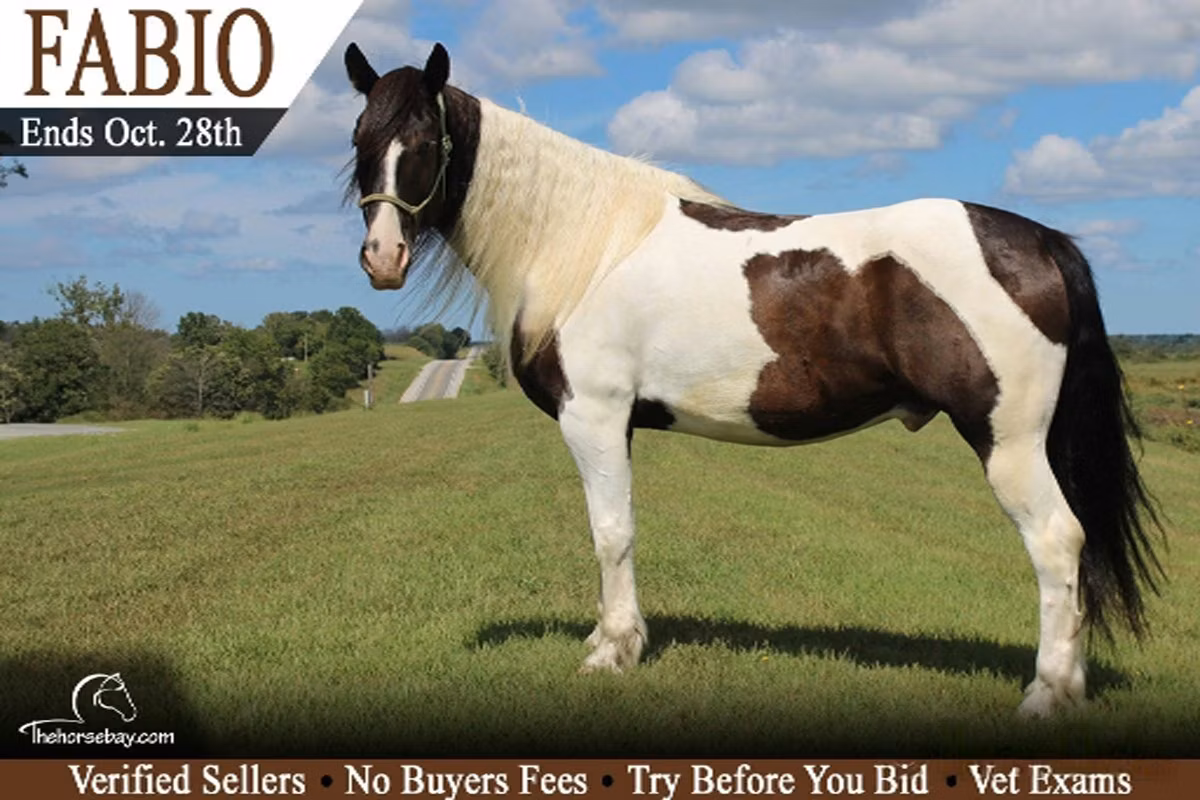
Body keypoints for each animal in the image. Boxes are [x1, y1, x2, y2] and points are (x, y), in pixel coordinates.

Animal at [343, 42, 1163, 717]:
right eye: (359, 141)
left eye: (424, 142)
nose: (382, 258)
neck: (583, 246)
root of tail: (1042, 241)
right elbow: (619, 529)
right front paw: (612, 640)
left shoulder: (595, 417)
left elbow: (611, 532)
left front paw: (613, 652)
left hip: (1009, 442)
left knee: (1057, 542)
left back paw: (1045, 696)